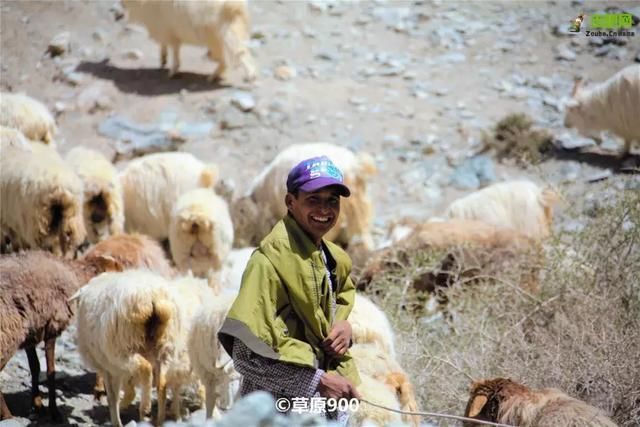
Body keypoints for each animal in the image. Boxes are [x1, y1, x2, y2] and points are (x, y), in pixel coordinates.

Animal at [0, 251, 121, 422]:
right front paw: (54, 411)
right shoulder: (52, 327)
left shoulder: (31, 335)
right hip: (8, 337)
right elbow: (51, 372)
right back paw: (7, 415)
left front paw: (37, 405)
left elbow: (35, 367)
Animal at [122, 0, 255, 82]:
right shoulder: (168, 30)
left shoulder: (167, 29)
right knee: (228, 58)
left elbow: (173, 49)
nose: (121, 4)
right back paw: (215, 76)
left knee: (237, 54)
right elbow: (168, 46)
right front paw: (163, 60)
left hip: (221, 37)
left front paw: (172, 71)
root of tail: (237, 6)